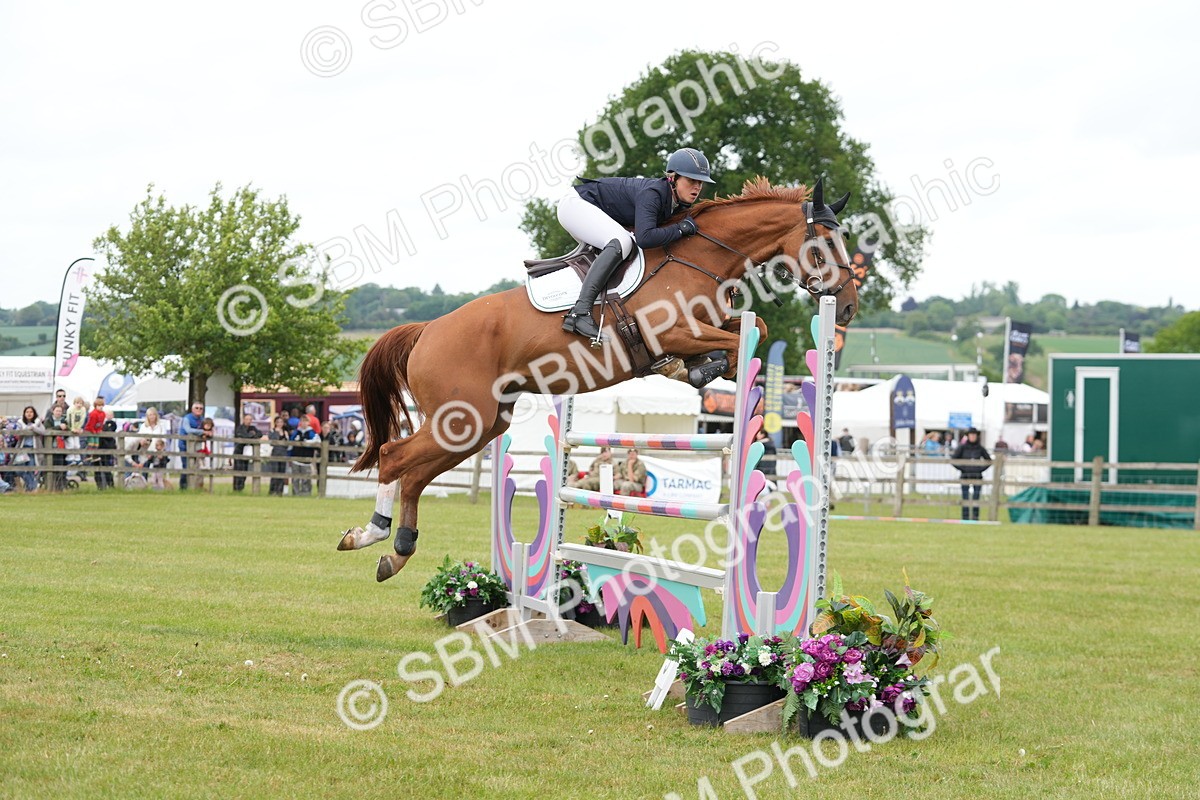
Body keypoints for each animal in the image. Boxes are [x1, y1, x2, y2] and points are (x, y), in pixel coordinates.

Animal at [340, 176, 859, 581]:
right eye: (826, 244)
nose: (849, 307)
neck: (703, 257)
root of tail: (427, 330)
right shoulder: (671, 329)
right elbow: (734, 341)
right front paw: (696, 367)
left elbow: (753, 332)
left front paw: (702, 367)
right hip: (463, 419)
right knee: (394, 457)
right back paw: (370, 534)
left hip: (482, 424)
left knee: (415, 474)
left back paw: (396, 551)